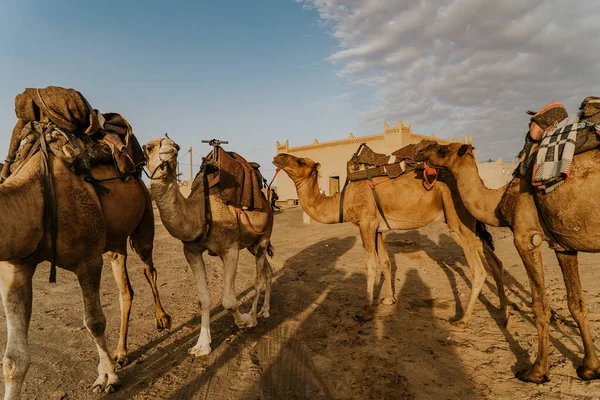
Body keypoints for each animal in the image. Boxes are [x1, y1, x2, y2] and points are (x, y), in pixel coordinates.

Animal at [144, 137, 274, 356]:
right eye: (148, 148)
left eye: (177, 147)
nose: (168, 147)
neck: (199, 213)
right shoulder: (191, 251)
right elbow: (203, 299)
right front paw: (202, 345)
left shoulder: (230, 248)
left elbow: (228, 300)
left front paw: (244, 321)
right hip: (252, 244)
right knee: (268, 271)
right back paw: (265, 310)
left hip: (264, 237)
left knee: (258, 279)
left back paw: (255, 316)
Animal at [274, 152, 508, 324]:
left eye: (300, 160)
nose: (278, 156)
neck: (344, 200)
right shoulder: (377, 228)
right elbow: (386, 262)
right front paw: (388, 299)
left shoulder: (366, 223)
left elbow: (370, 265)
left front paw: (366, 311)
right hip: (471, 221)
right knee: (495, 262)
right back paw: (504, 315)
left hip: (456, 218)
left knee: (479, 270)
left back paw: (463, 319)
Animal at [414, 141, 600, 382]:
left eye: (443, 149)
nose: (420, 152)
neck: (499, 199)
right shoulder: (562, 244)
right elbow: (576, 303)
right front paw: (590, 368)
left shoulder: (525, 237)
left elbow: (540, 305)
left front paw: (536, 371)